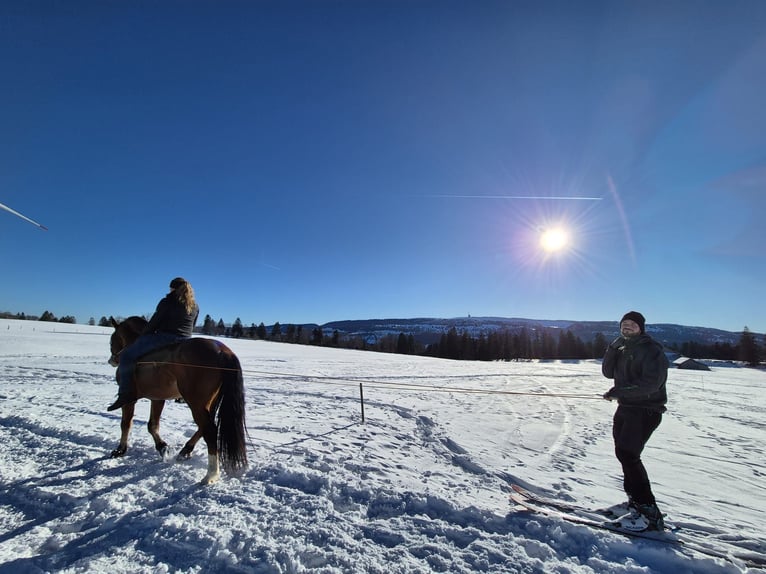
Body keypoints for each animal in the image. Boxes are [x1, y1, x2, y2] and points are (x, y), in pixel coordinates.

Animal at [105, 316, 248, 486]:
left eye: (112, 340)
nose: (111, 360)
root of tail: (222, 351)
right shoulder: (158, 398)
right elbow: (152, 425)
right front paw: (162, 447)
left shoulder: (128, 401)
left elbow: (126, 423)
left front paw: (120, 450)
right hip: (208, 402)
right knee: (204, 427)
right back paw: (186, 451)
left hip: (196, 402)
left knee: (210, 430)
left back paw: (211, 475)